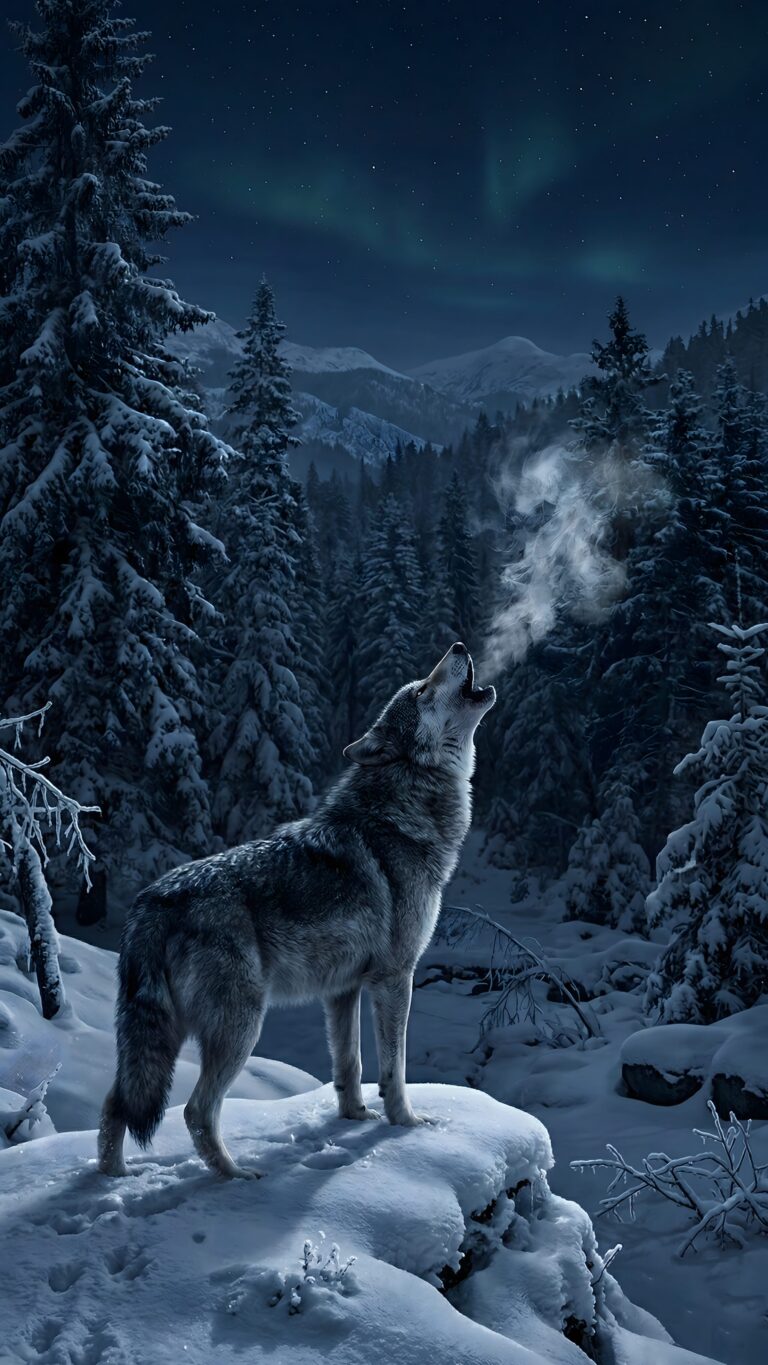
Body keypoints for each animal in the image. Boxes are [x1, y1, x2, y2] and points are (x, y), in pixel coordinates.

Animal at [98, 642, 495, 1178]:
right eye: (421, 690)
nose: (457, 646)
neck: (400, 808)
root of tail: (150, 902)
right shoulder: (395, 977)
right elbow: (395, 1068)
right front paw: (406, 1125)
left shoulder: (343, 990)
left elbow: (349, 1065)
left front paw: (354, 1117)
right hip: (241, 1026)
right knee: (195, 1110)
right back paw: (235, 1176)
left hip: (162, 1036)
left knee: (117, 1103)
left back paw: (113, 1179)